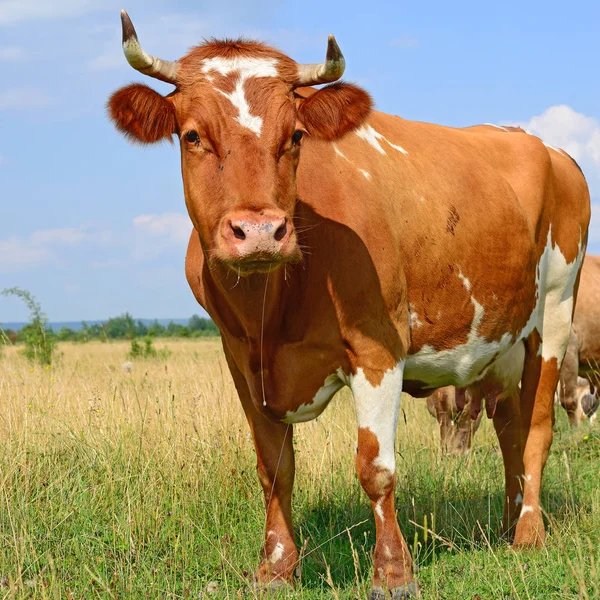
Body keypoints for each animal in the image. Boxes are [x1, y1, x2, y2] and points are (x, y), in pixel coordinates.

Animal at [108, 11, 592, 596]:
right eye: (192, 135)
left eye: (295, 135)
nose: (260, 232)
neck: (274, 305)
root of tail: (548, 148)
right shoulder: (241, 358)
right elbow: (274, 467)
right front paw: (275, 568)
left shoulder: (377, 348)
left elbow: (375, 467)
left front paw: (393, 573)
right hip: (502, 340)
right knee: (510, 426)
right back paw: (507, 520)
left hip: (556, 313)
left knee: (539, 426)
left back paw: (528, 533)